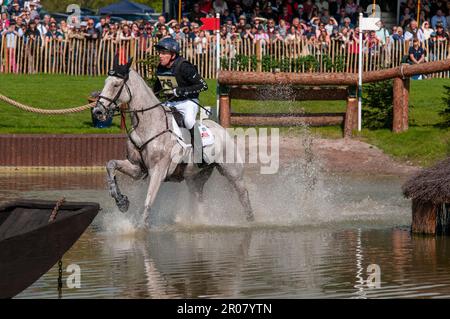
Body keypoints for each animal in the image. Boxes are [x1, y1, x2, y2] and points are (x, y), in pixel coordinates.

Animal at [93, 58, 255, 226]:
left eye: (116, 85)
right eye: (106, 82)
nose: (97, 112)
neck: (148, 124)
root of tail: (221, 128)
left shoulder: (158, 171)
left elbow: (148, 201)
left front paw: (140, 226)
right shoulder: (137, 168)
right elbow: (111, 164)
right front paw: (121, 201)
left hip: (232, 170)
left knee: (242, 193)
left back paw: (250, 220)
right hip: (195, 177)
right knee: (198, 196)